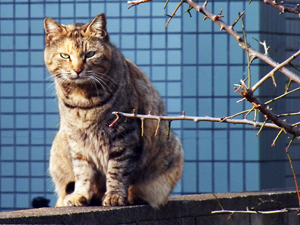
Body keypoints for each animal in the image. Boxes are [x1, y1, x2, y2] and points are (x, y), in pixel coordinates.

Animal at [42, 13, 183, 207]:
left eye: (90, 54)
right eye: (65, 55)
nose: (78, 70)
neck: (83, 99)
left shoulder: (124, 135)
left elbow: (117, 170)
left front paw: (114, 196)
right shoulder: (77, 140)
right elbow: (82, 171)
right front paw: (80, 194)